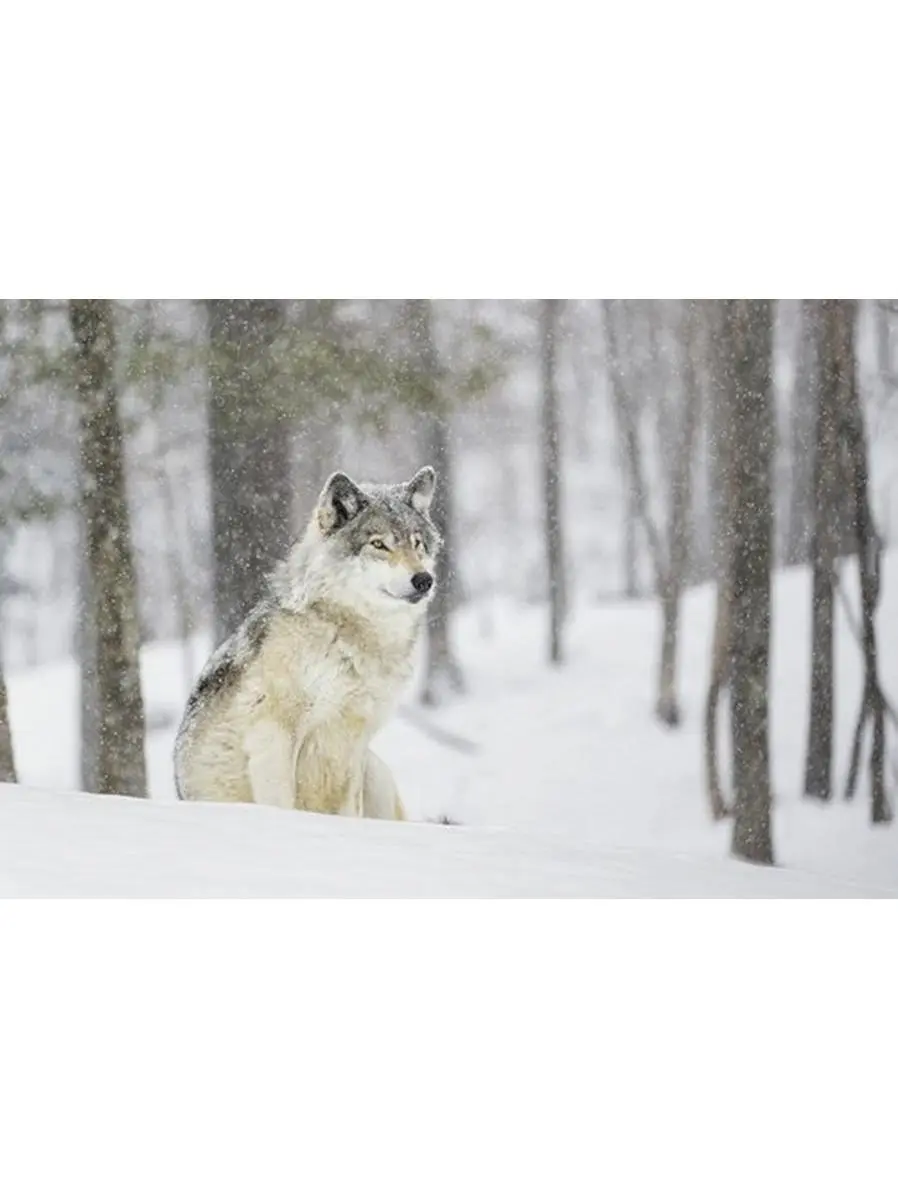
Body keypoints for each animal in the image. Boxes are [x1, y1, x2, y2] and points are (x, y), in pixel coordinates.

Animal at [174, 466, 440, 819]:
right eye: (378, 544)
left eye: (417, 543)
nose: (424, 580)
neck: (348, 635)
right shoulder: (273, 734)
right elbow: (283, 803)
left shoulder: (354, 744)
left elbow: (350, 810)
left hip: (375, 771)